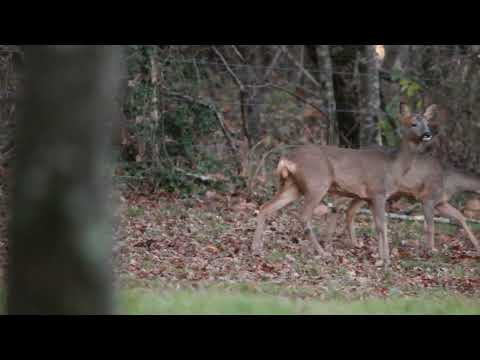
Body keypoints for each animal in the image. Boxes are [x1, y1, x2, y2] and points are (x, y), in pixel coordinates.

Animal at [253, 104, 436, 268]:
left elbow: (378, 225)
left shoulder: (368, 197)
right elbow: (382, 225)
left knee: (265, 207)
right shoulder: (378, 192)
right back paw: (322, 253)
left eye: (427, 123)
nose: (427, 134)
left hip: (292, 186)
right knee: (303, 216)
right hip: (317, 184)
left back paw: (256, 248)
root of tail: (286, 159)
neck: (394, 167)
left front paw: (381, 257)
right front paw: (385, 260)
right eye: (413, 123)